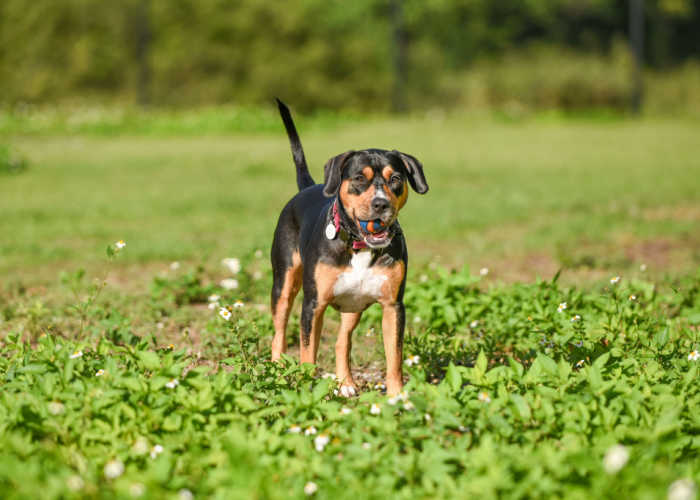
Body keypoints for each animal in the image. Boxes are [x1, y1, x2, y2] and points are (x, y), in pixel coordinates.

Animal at [272, 99, 426, 396]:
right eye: (358, 178)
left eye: (395, 178)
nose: (381, 204)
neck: (359, 245)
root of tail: (306, 188)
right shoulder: (313, 305)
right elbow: (307, 354)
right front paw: (308, 392)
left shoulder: (393, 306)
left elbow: (395, 357)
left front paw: (397, 396)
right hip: (283, 285)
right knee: (279, 333)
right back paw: (276, 371)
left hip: (353, 305)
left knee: (342, 341)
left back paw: (345, 383)